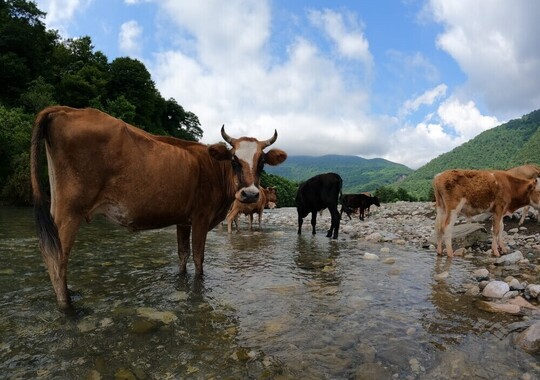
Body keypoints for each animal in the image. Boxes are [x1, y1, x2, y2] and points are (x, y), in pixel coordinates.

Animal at [30, 105, 286, 310]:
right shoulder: (201, 217)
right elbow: (198, 257)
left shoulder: (183, 220)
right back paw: (68, 307)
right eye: (234, 160)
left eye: (262, 162)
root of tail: (68, 109)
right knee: (57, 256)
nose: (250, 194)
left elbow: (183, 255)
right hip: (70, 209)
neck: (214, 169)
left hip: (57, 204)